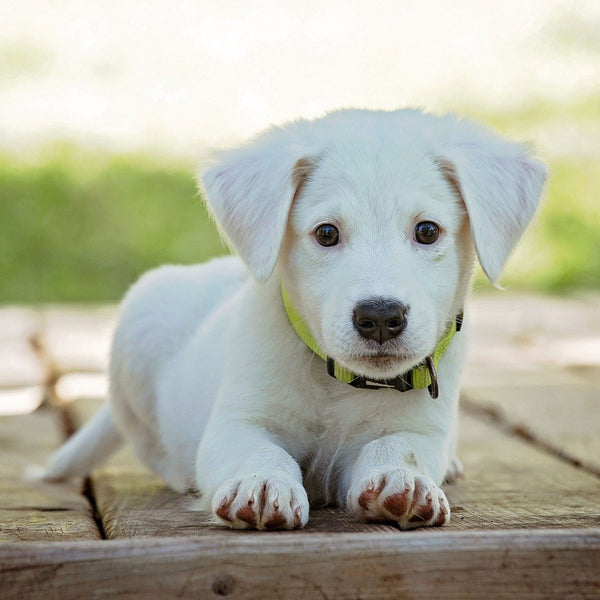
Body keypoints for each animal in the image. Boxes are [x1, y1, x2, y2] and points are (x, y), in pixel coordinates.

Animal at [44, 108, 548, 528]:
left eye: (427, 231)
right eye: (326, 233)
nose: (380, 317)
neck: (338, 383)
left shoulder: (421, 429)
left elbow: (397, 447)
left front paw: (401, 480)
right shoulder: (237, 423)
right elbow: (259, 451)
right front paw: (263, 483)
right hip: (139, 328)